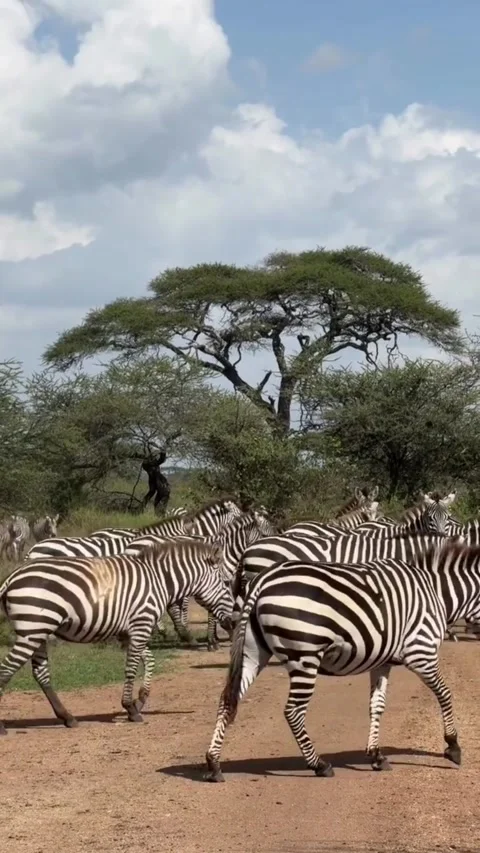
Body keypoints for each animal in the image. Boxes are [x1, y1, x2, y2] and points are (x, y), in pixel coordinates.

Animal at [0, 539, 234, 733]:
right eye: (225, 583)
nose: (233, 621)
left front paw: (140, 700)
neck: (160, 580)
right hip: (33, 629)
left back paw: (68, 717)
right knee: (6, 670)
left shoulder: (130, 631)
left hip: (38, 630)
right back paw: (3, 727)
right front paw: (130, 708)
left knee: (41, 673)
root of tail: (11, 578)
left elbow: (149, 661)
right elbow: (131, 669)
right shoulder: (141, 624)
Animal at [204, 539, 480, 782]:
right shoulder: (421, 652)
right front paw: (453, 746)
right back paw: (319, 765)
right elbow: (445, 694)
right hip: (304, 655)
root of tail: (262, 580)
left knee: (227, 700)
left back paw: (213, 764)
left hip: (252, 653)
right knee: (293, 712)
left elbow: (376, 705)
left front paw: (376, 756)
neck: (437, 593)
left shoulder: (382, 662)